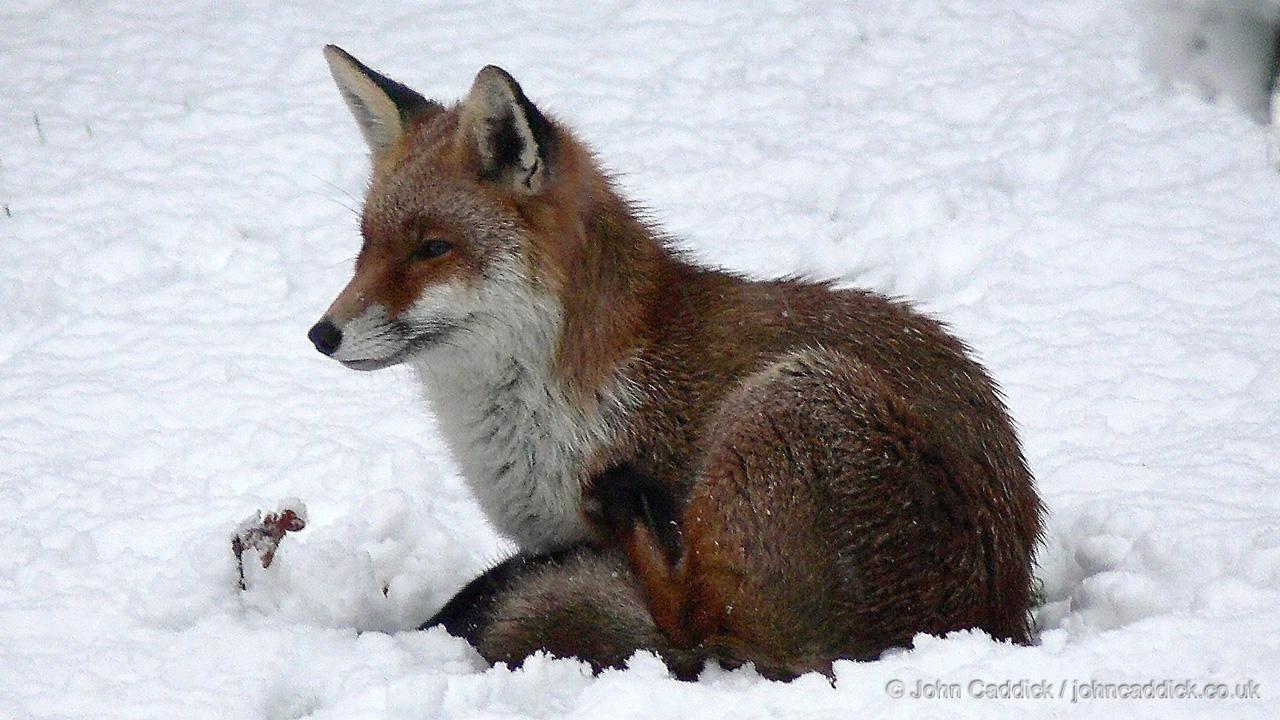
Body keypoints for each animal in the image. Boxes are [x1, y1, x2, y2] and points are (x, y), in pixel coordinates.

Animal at [309, 45, 1043, 680]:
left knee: (690, 624)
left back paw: (637, 514)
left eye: (433, 248)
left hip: (790, 400)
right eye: (366, 245)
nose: (322, 334)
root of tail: (995, 607)